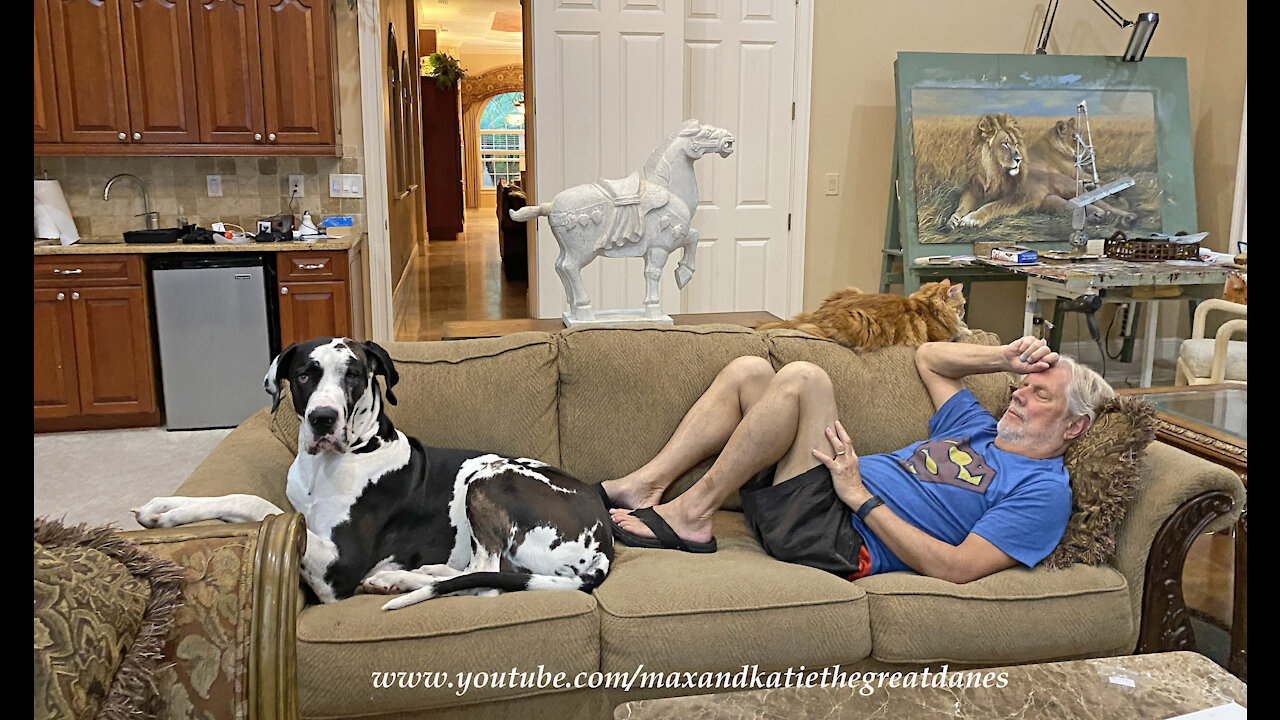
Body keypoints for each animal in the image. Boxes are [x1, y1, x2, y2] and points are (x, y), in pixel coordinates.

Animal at [747, 279, 967, 348]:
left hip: (852, 289)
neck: (925, 304)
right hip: (860, 321)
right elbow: (960, 332)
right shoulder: (941, 339)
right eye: (963, 305)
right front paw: (964, 328)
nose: (965, 311)